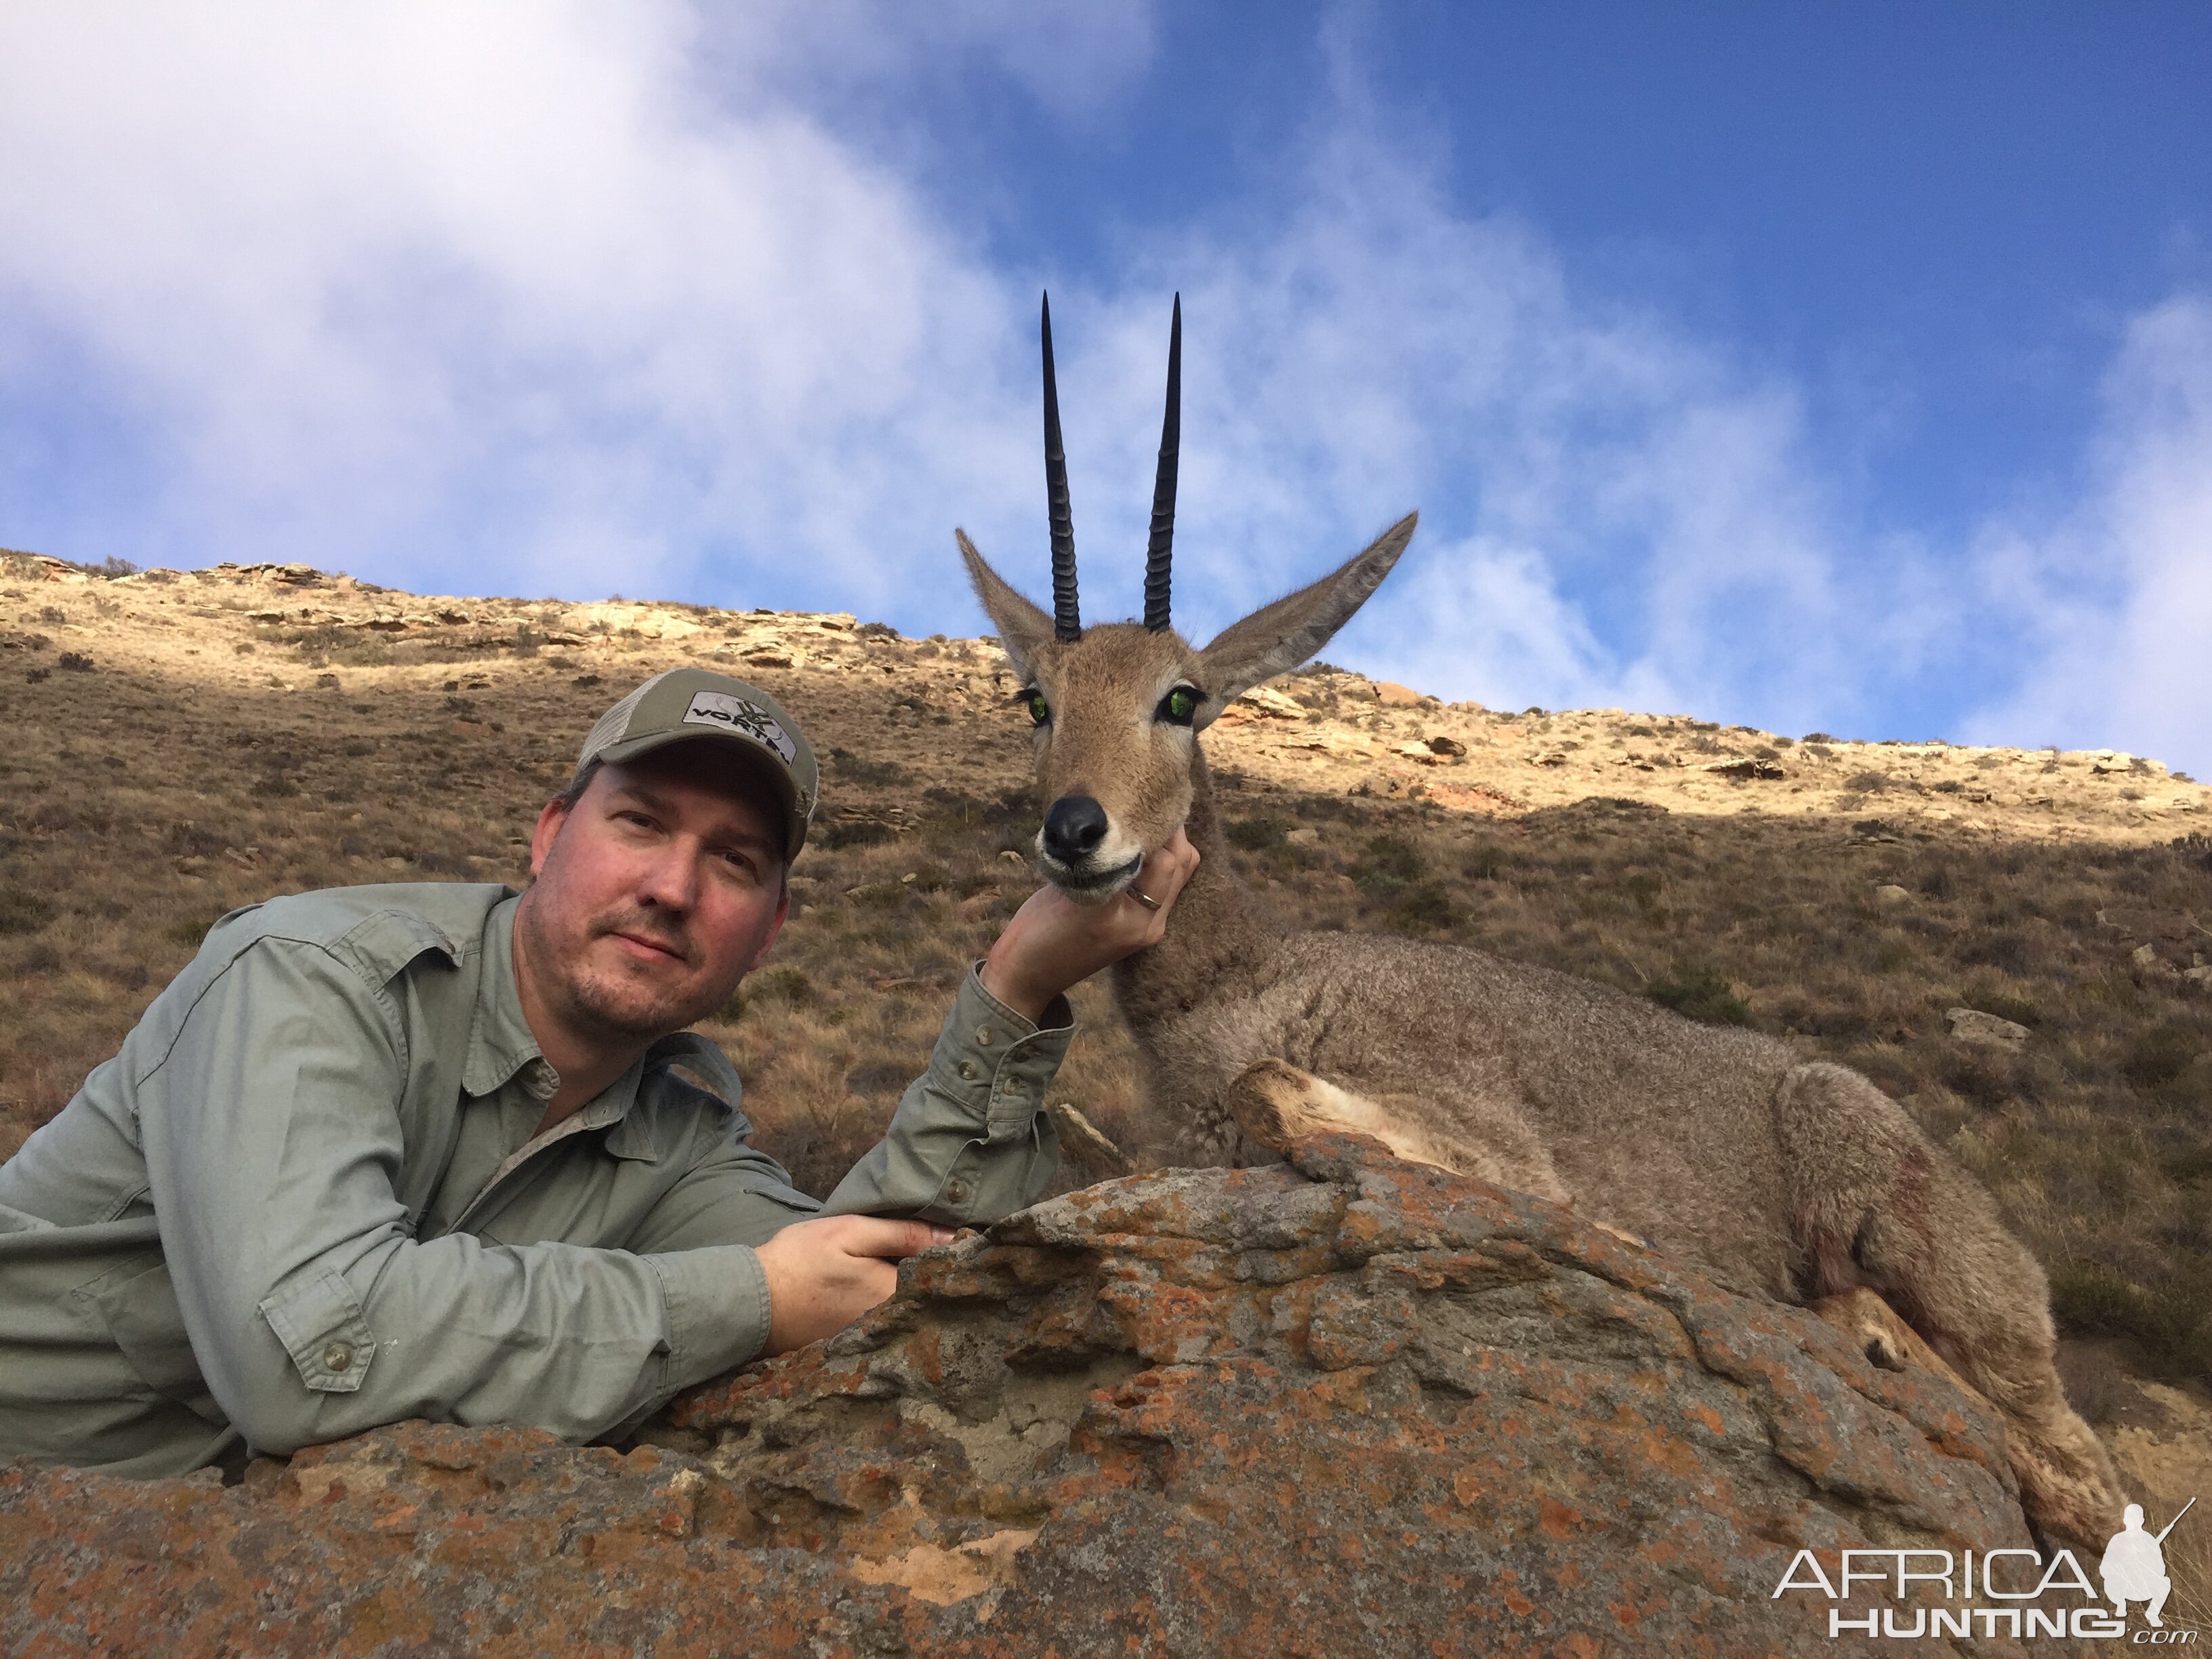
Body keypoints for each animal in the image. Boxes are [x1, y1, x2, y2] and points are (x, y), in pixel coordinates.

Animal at [960, 291, 2132, 1557]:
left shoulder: (1477, 1129)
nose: (1075, 830)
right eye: (1036, 699)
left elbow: (1288, 1098)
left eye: (1180, 698)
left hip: (1926, 1252)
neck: (1240, 980)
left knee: (2068, 1469)